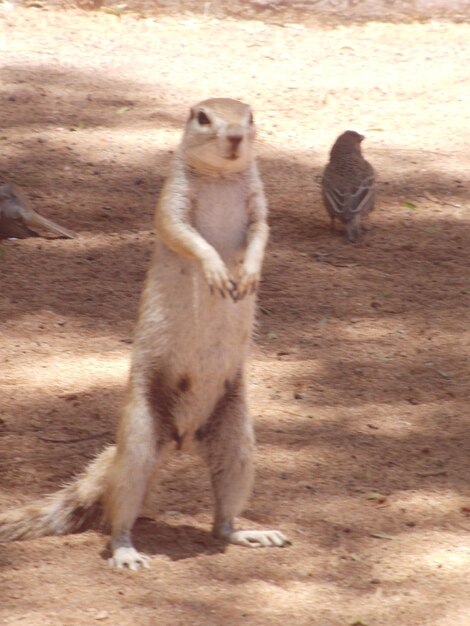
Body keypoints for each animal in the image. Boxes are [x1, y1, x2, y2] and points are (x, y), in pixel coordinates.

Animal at [0, 96, 290, 564]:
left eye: (250, 117)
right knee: (120, 514)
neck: (221, 177)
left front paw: (248, 274)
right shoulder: (171, 202)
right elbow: (184, 234)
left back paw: (248, 533)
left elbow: (263, 233)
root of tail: (181, 440)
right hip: (138, 436)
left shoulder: (258, 204)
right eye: (203, 117)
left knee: (222, 519)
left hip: (239, 443)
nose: (234, 137)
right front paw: (215, 270)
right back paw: (125, 552)